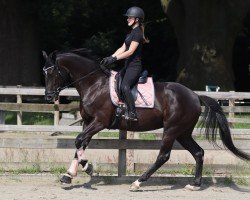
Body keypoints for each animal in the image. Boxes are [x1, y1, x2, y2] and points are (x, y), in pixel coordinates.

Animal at [42, 48, 249, 191]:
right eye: (45, 73)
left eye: (52, 72)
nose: (48, 96)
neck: (94, 85)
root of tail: (195, 96)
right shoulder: (87, 122)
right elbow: (80, 144)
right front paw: (69, 175)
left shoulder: (99, 122)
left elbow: (79, 141)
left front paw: (87, 168)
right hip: (183, 132)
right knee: (198, 152)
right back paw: (195, 184)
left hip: (171, 130)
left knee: (164, 156)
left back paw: (138, 182)